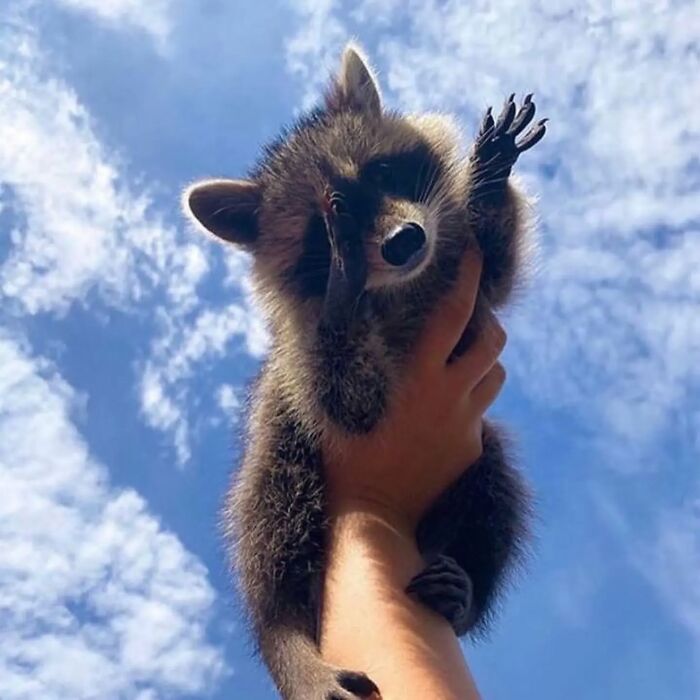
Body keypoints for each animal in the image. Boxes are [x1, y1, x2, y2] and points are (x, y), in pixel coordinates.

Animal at [185, 43, 548, 700]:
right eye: (327, 229)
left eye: (380, 174)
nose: (404, 243)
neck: (399, 288)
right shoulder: (302, 370)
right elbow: (349, 402)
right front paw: (341, 296)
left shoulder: (465, 285)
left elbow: (497, 262)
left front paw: (488, 181)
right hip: (279, 440)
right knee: (271, 521)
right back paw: (283, 632)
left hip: (479, 455)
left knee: (498, 485)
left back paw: (468, 585)